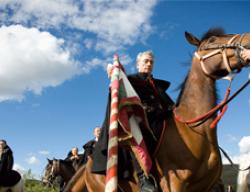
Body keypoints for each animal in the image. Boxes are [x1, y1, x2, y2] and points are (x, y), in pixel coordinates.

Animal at [64, 27, 250, 192]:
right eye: (212, 40)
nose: (247, 40)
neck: (194, 129)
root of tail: (88, 165)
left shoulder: (207, 187)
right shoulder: (175, 183)